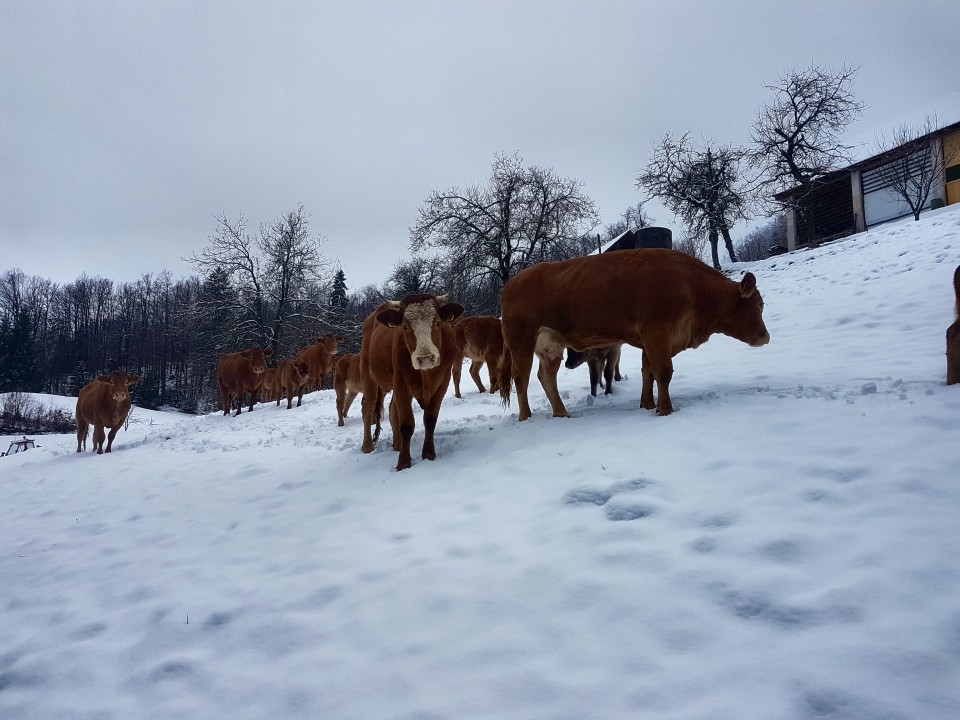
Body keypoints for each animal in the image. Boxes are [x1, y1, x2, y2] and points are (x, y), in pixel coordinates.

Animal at [360, 294, 464, 472]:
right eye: (405, 326)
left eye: (437, 323)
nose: (426, 358)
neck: (425, 375)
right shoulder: (401, 384)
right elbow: (407, 425)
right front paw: (403, 462)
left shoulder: (442, 383)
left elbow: (430, 420)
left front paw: (428, 454)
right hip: (369, 375)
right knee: (368, 407)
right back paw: (368, 446)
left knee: (392, 409)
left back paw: (397, 445)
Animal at [498, 248, 768, 420]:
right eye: (760, 303)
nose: (765, 336)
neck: (692, 286)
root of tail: (512, 282)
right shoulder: (657, 331)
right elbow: (663, 372)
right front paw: (665, 409)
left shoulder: (651, 339)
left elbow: (648, 372)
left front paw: (647, 405)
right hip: (521, 340)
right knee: (521, 378)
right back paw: (526, 417)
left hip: (551, 344)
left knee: (546, 376)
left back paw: (561, 412)